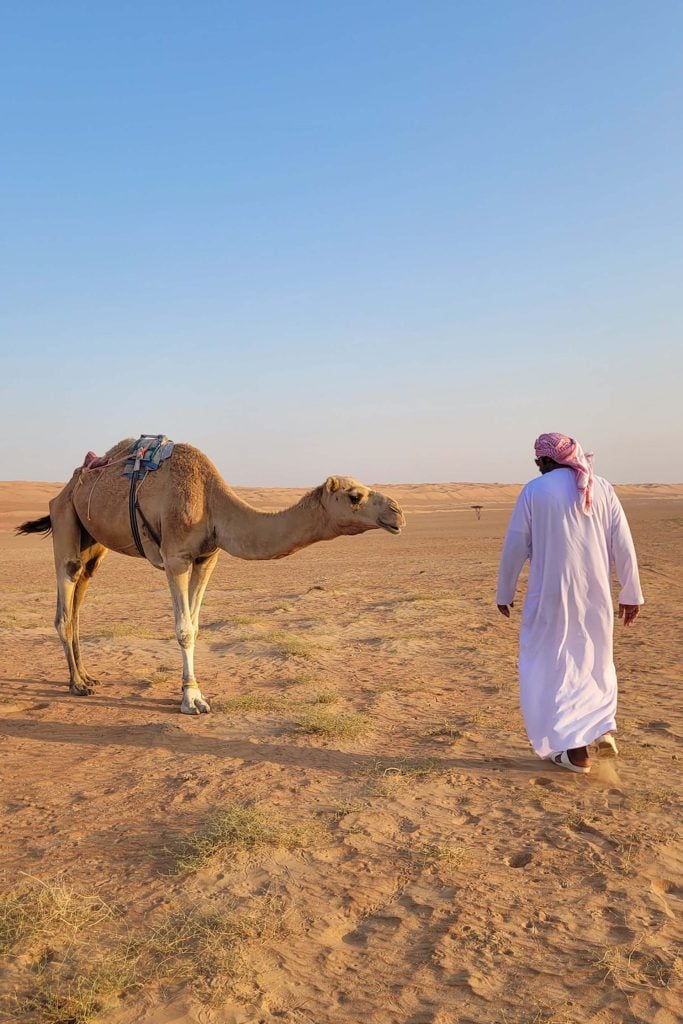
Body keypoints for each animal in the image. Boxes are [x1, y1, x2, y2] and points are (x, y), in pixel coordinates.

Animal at [17, 438, 405, 712]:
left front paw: (190, 690)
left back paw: (86, 676)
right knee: (66, 596)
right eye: (355, 496)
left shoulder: (207, 557)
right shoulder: (176, 558)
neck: (212, 503)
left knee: (82, 591)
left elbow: (197, 625)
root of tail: (69, 484)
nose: (398, 512)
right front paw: (192, 699)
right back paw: (76, 684)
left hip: (93, 540)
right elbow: (184, 629)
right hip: (65, 515)